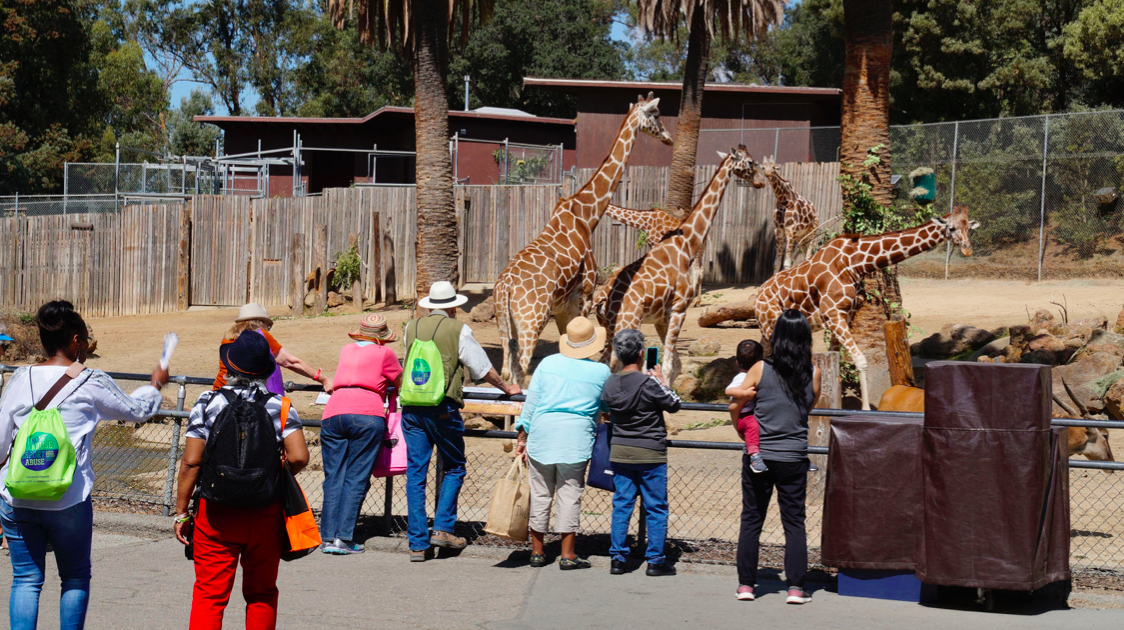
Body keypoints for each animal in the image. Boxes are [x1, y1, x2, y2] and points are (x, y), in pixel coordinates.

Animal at [494, 93, 674, 386]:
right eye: (656, 115)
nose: (669, 138)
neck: (586, 216)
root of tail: (505, 288)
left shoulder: (563, 308)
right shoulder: (584, 297)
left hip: (504, 324)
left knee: (507, 371)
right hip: (532, 320)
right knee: (521, 370)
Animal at [594, 145, 767, 385]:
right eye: (750, 162)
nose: (761, 181)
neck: (687, 245)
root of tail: (602, 299)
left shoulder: (661, 317)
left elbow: (675, 365)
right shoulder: (678, 309)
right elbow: (667, 367)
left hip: (609, 327)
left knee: (602, 363)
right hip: (627, 322)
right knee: (612, 366)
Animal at [753, 205, 980, 410]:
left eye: (969, 227)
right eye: (951, 227)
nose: (967, 249)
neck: (855, 263)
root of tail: (757, 297)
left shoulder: (845, 315)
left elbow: (835, 361)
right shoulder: (832, 313)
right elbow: (860, 360)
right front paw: (864, 410)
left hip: (768, 330)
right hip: (771, 324)